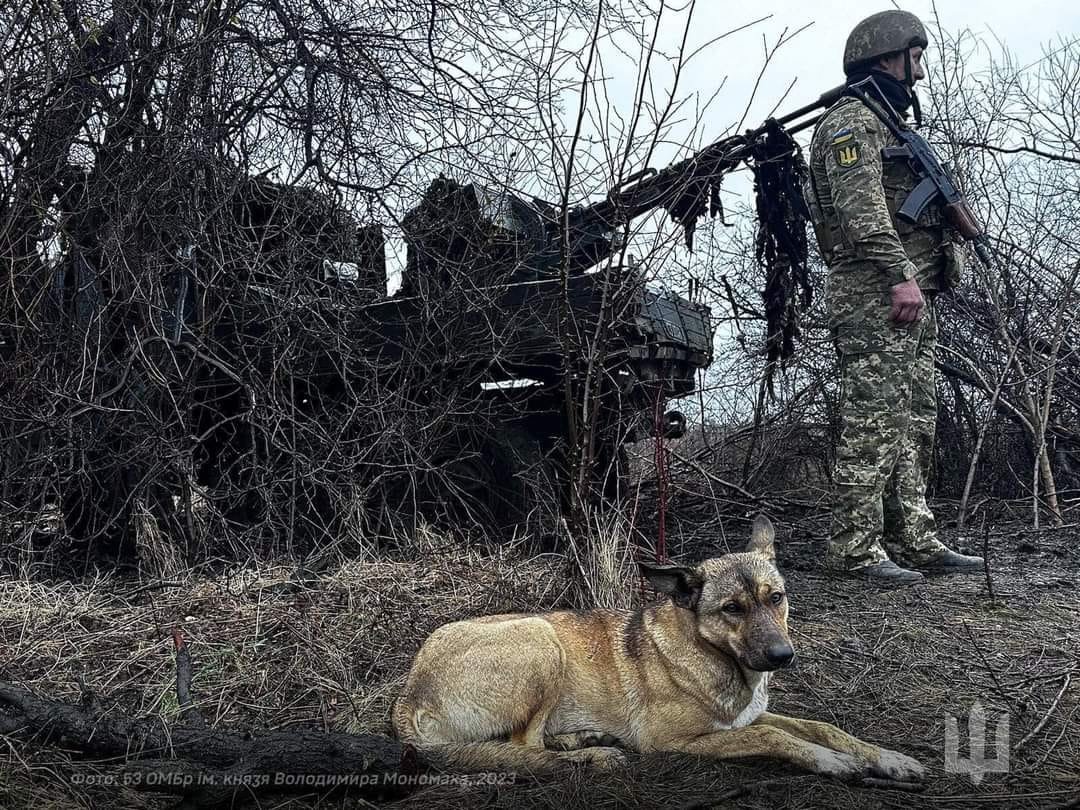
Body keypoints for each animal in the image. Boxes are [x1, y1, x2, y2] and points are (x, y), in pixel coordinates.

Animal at [393, 516, 924, 781]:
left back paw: (584, 739)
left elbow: (821, 727)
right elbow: (774, 737)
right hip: (541, 640)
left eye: (776, 598)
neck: (713, 656)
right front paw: (833, 763)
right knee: (524, 748)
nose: (782, 657)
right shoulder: (676, 740)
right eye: (732, 608)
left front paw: (886, 758)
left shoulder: (745, 716)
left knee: (529, 743)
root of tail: (409, 694)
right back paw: (592, 757)